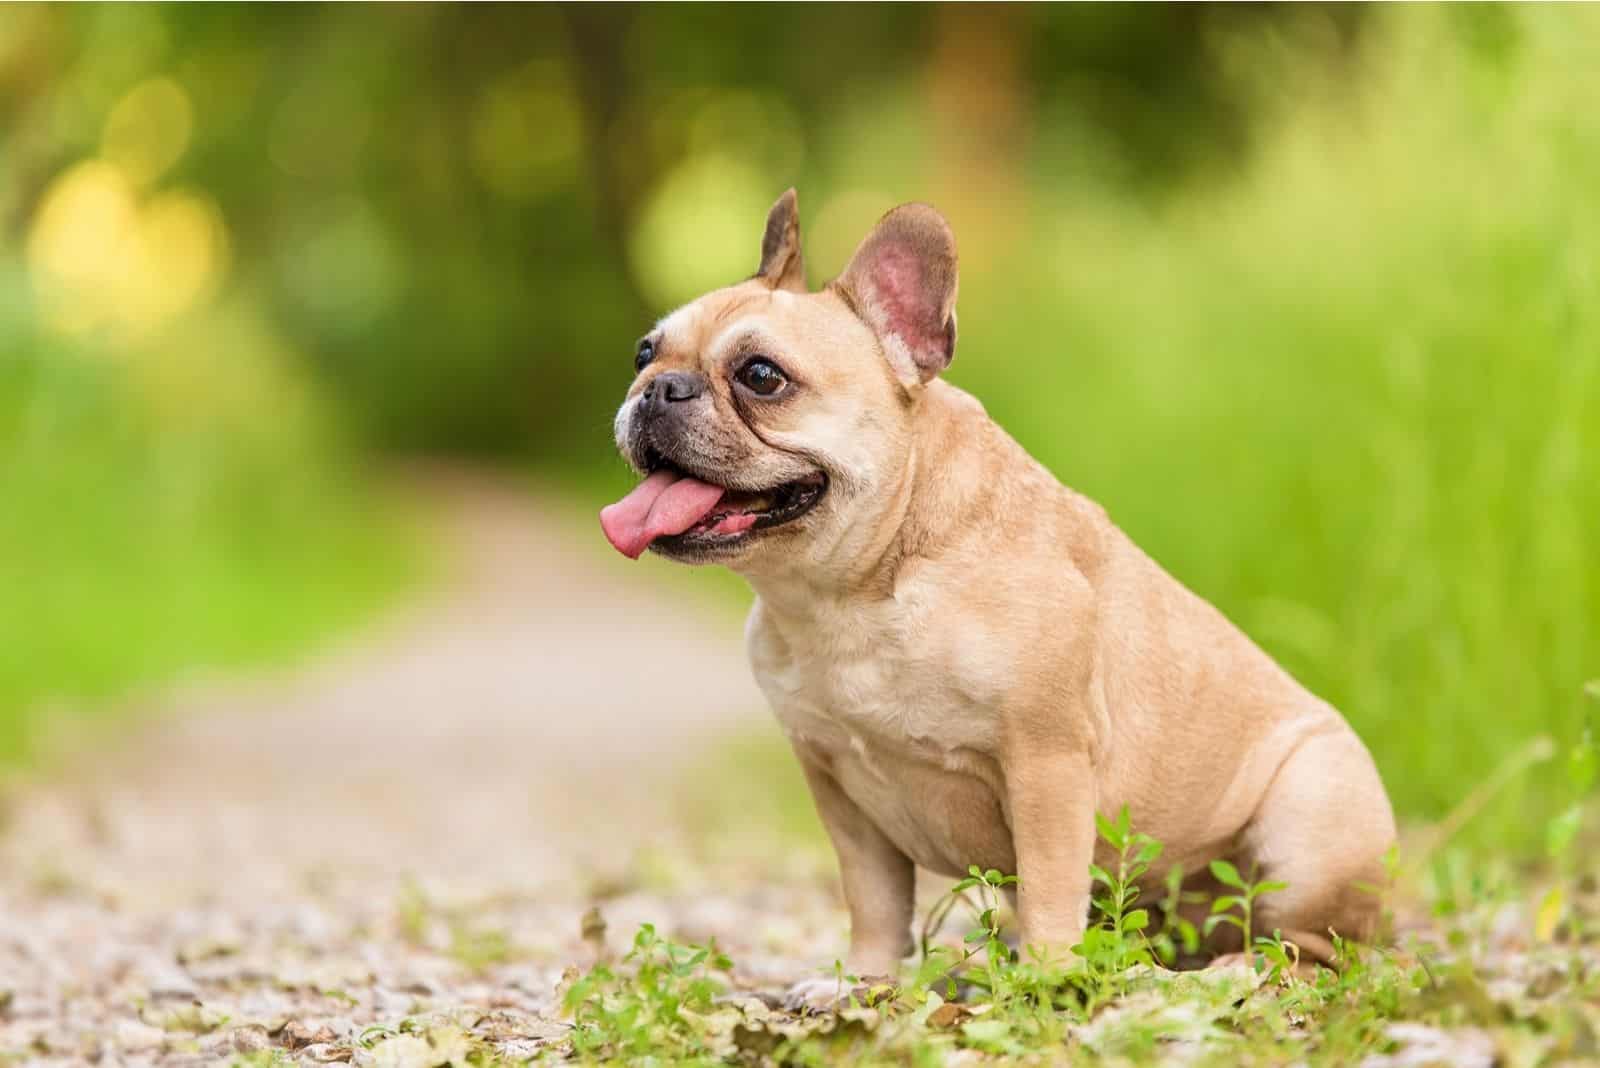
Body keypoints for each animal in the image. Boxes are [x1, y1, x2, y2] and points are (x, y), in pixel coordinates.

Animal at [598, 189, 1388, 991]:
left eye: (762, 376)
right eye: (643, 353)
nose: (657, 389)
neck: (849, 594)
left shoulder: (1045, 762)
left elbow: (1048, 885)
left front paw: (1046, 978)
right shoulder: (839, 789)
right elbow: (874, 898)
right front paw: (863, 981)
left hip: (1307, 823)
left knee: (1318, 948)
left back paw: (1235, 970)